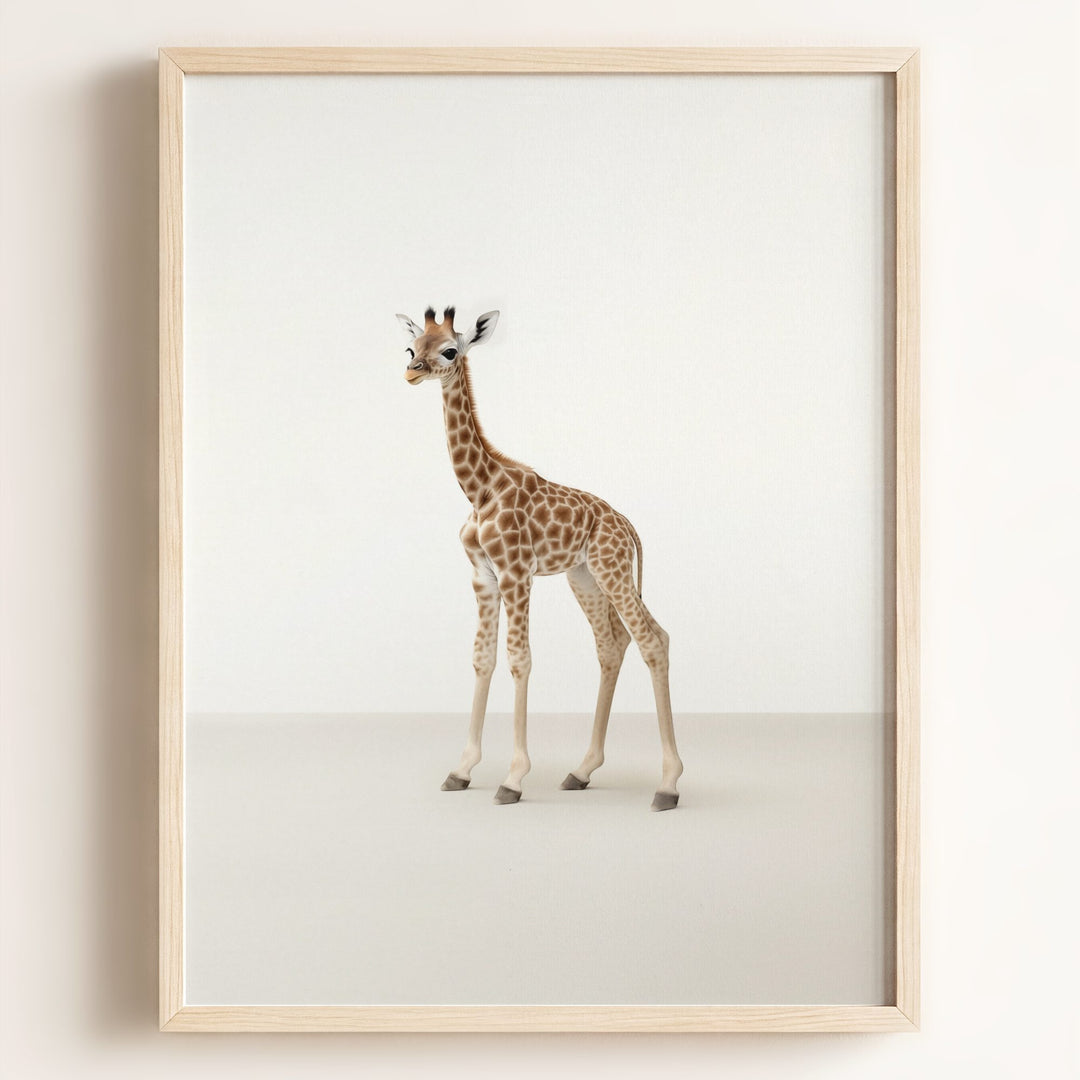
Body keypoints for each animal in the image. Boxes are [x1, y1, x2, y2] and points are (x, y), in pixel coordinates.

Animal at [396, 306, 683, 811]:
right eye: (412, 347)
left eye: (449, 350)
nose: (411, 371)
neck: (480, 489)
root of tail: (628, 526)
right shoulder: (483, 576)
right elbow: (482, 658)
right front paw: (461, 770)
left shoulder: (516, 573)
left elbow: (519, 659)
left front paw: (513, 778)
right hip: (585, 576)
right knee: (614, 644)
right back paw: (581, 770)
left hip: (611, 569)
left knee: (651, 640)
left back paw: (667, 785)